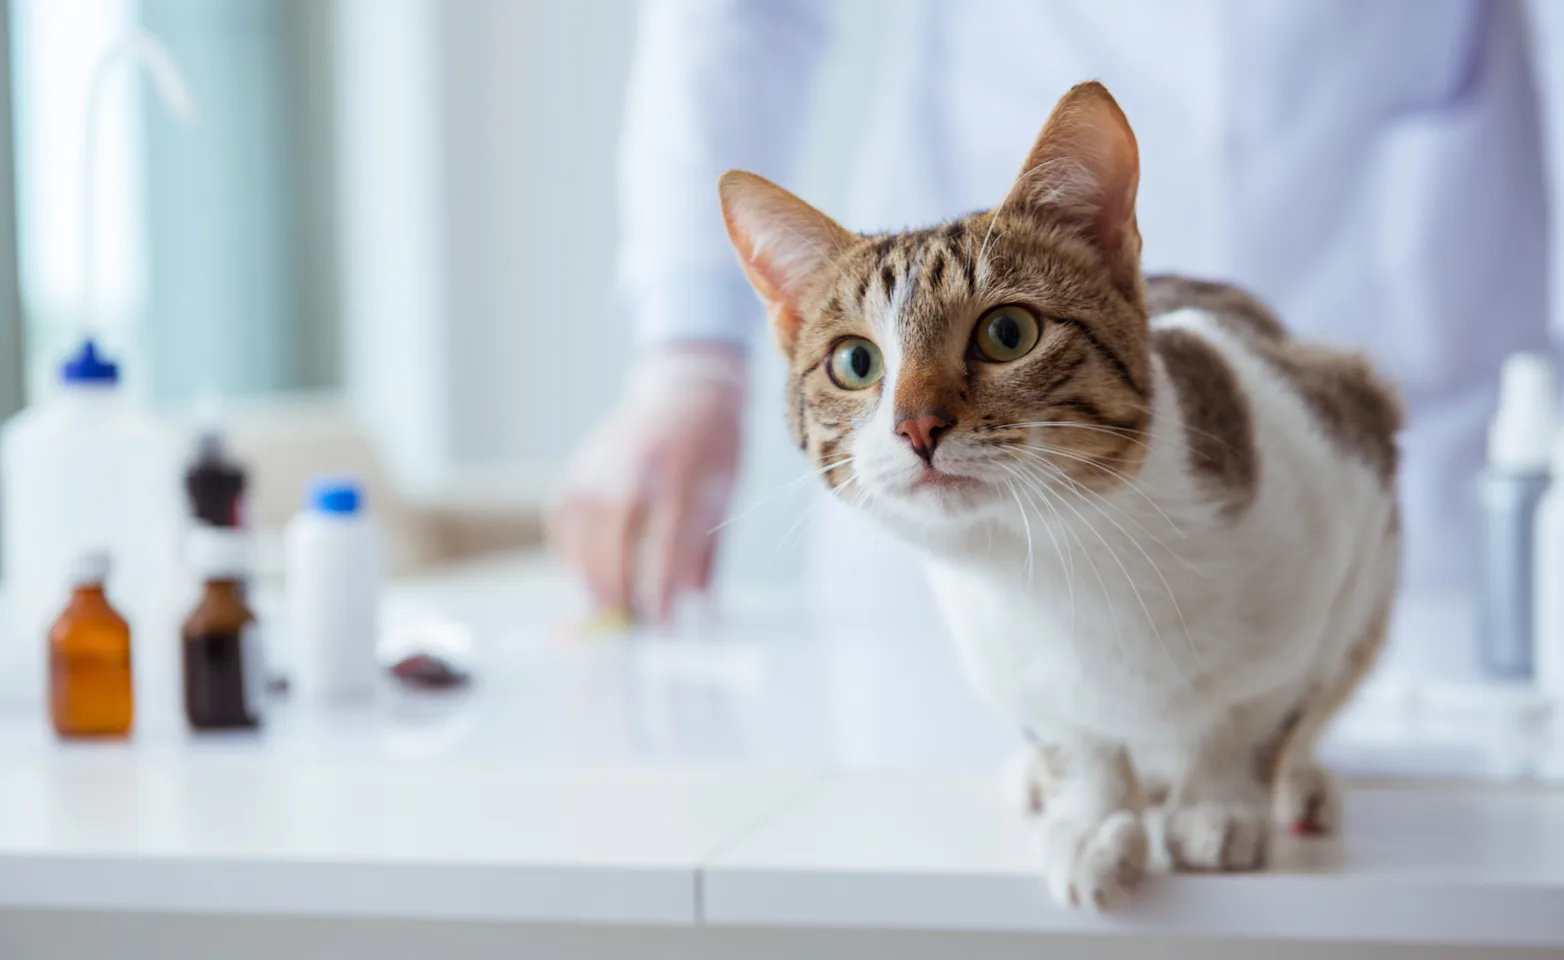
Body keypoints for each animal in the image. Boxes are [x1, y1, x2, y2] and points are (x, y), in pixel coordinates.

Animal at [719, 80, 1407, 913]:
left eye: (1008, 332)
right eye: (855, 362)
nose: (917, 425)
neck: (1063, 556)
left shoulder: (1347, 494)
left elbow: (1261, 711)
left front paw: (1217, 802)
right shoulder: (1006, 659)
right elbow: (1076, 734)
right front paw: (1094, 817)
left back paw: (1298, 786)